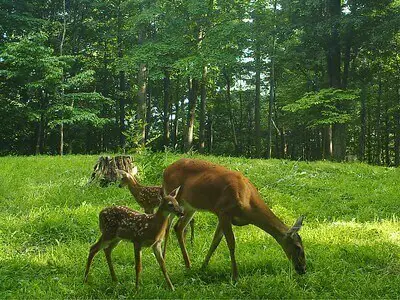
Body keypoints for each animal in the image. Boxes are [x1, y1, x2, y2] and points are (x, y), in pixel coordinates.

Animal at [162, 159, 306, 282]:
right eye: (298, 247)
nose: (303, 269)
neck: (248, 204)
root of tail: (166, 170)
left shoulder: (222, 216)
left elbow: (215, 242)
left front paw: (203, 267)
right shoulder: (224, 211)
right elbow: (231, 243)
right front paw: (235, 276)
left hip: (190, 206)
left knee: (178, 227)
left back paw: (188, 265)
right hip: (174, 199)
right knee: (168, 225)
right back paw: (165, 258)